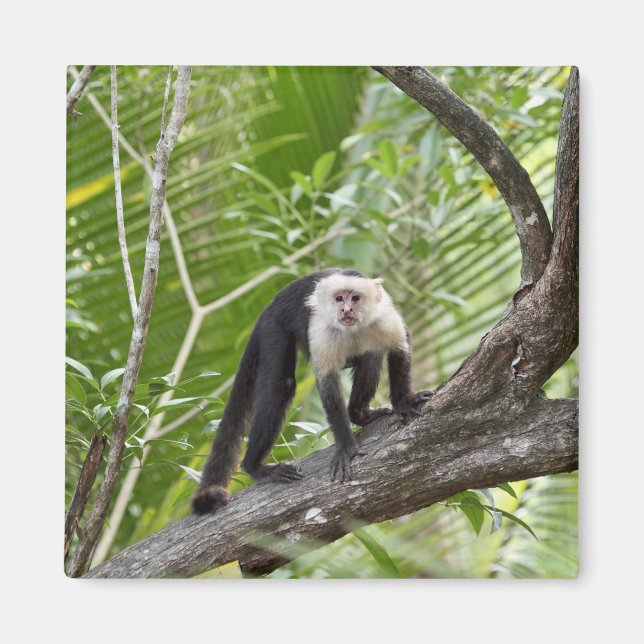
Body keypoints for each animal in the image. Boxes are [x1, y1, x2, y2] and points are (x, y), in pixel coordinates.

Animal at [191, 268, 431, 515]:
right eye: (339, 299)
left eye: (355, 298)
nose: (346, 309)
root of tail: (271, 304)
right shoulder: (321, 330)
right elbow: (327, 383)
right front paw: (346, 448)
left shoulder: (383, 317)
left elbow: (401, 345)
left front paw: (402, 402)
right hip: (274, 326)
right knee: (281, 385)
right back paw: (255, 467)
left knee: (370, 354)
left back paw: (359, 414)